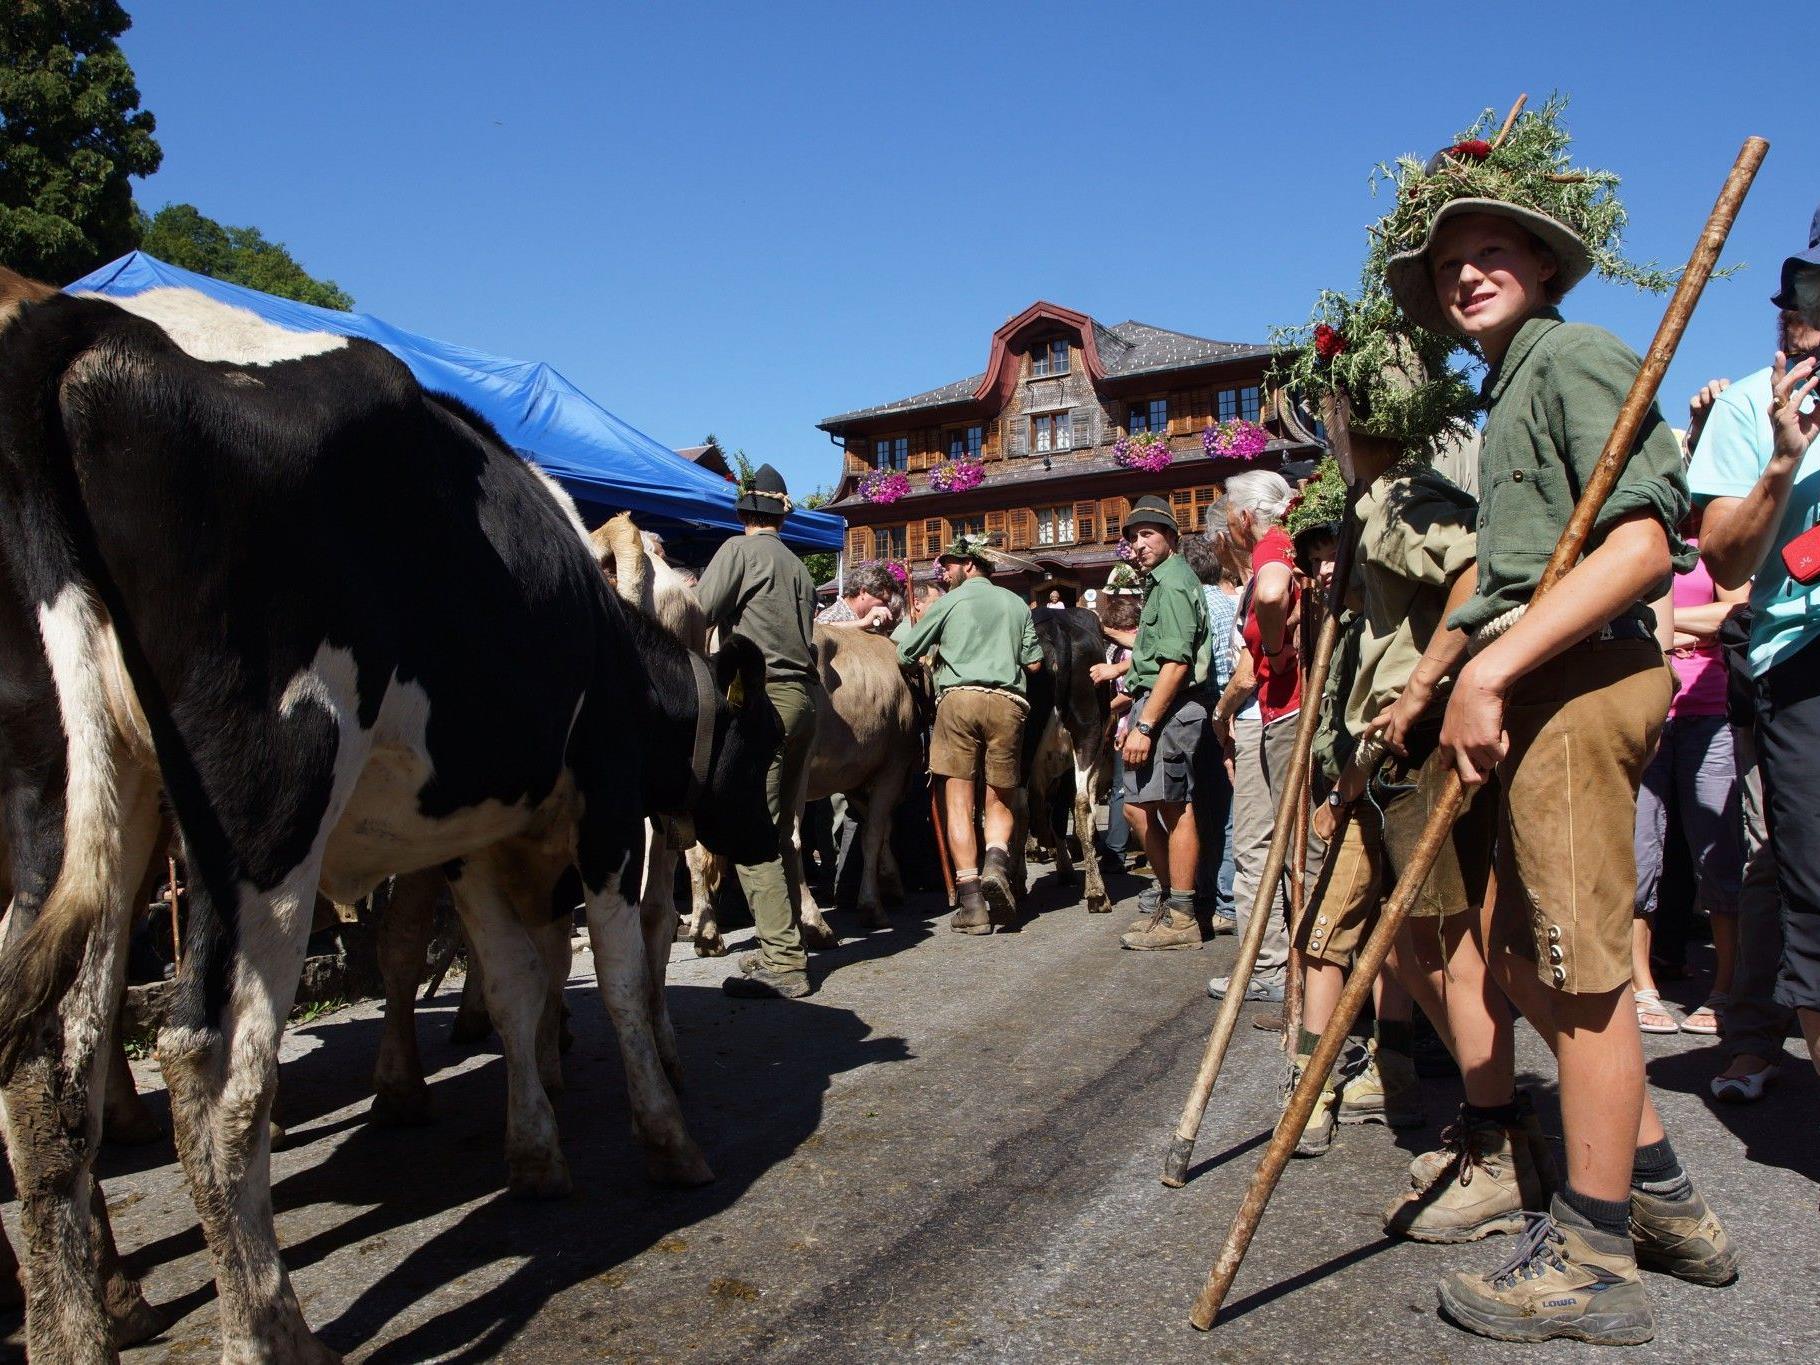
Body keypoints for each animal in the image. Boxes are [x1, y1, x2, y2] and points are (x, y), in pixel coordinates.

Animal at [0, 273, 775, 1361]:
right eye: (768, 743)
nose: (765, 839)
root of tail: (86, 323)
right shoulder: (609, 808)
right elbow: (619, 973)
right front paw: (667, 1139)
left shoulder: (485, 839)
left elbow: (518, 979)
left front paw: (535, 1153)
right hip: (270, 799)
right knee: (208, 1060)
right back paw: (268, 1327)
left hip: (79, 795)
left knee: (45, 1058)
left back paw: (79, 1322)